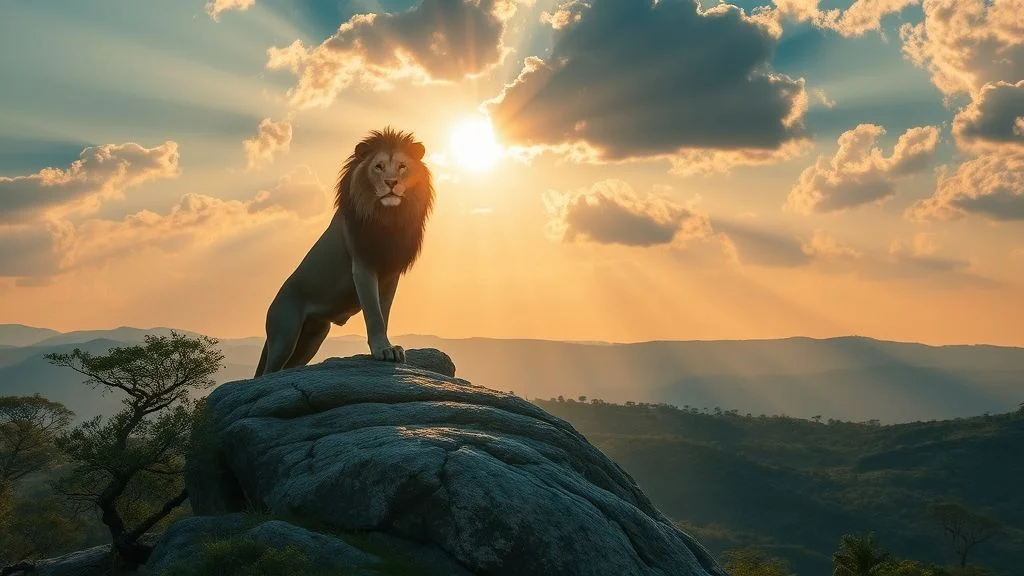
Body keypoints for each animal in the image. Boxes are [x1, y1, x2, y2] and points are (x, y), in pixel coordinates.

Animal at [254, 127, 435, 377]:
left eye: (402, 166)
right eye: (378, 166)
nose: (391, 182)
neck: (389, 219)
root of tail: (274, 301)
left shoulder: (391, 273)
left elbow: (384, 311)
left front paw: (390, 348)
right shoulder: (362, 266)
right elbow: (374, 313)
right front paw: (383, 349)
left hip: (312, 337)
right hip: (285, 332)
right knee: (268, 371)